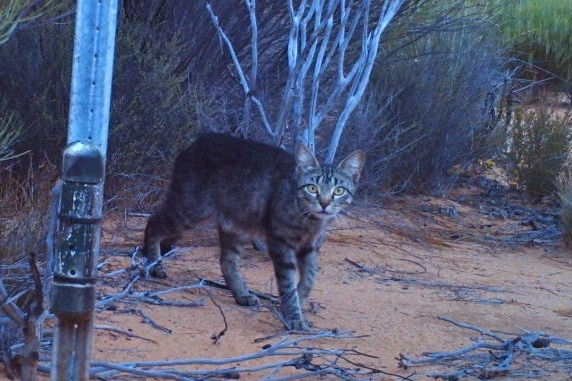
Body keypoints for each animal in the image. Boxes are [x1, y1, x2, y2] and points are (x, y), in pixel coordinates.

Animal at [144, 134, 366, 330]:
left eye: (339, 191)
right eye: (312, 188)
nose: (324, 204)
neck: (310, 220)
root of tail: (198, 141)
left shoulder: (310, 247)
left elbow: (310, 277)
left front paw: (301, 299)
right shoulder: (280, 243)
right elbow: (287, 283)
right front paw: (294, 317)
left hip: (235, 224)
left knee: (227, 261)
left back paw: (241, 295)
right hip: (190, 210)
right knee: (153, 222)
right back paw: (153, 265)